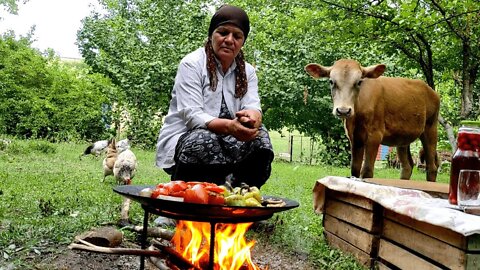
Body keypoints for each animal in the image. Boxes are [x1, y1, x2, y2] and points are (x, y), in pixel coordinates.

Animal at [306, 59, 440, 181]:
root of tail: (431, 90)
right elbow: (355, 169)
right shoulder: (354, 138)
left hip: (430, 128)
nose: (343, 110)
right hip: (403, 137)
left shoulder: (375, 135)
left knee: (432, 167)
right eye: (331, 81)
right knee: (407, 165)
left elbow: (367, 171)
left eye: (359, 82)